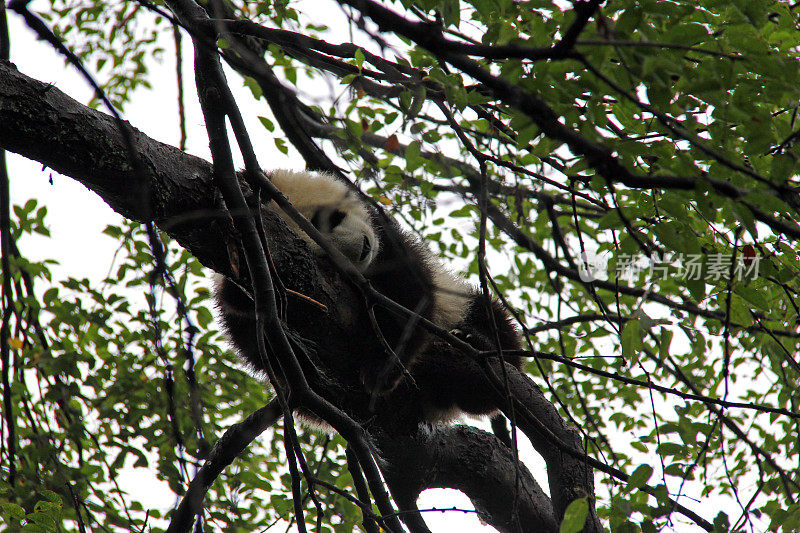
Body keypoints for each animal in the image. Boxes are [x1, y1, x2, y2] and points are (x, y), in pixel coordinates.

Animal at [216, 168, 520, 426]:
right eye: (324, 257)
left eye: (324, 220)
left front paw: (380, 370)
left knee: (492, 323)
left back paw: (475, 339)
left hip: (461, 303)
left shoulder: (388, 242)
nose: (362, 249)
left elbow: (410, 299)